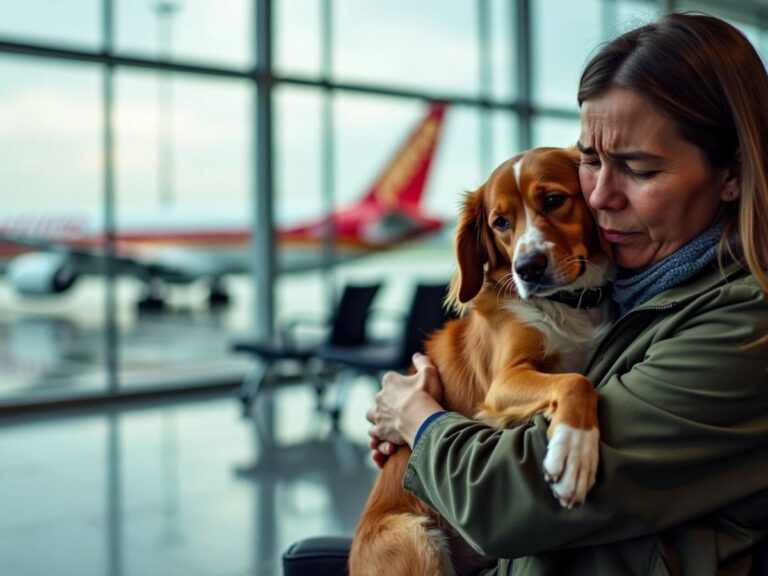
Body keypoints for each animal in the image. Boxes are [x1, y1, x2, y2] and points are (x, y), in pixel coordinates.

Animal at [352, 147, 616, 576]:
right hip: (415, 539)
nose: (527, 268)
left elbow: (577, 376)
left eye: (554, 200)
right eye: (500, 223)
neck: (568, 306)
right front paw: (574, 450)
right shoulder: (502, 382)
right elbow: (576, 380)